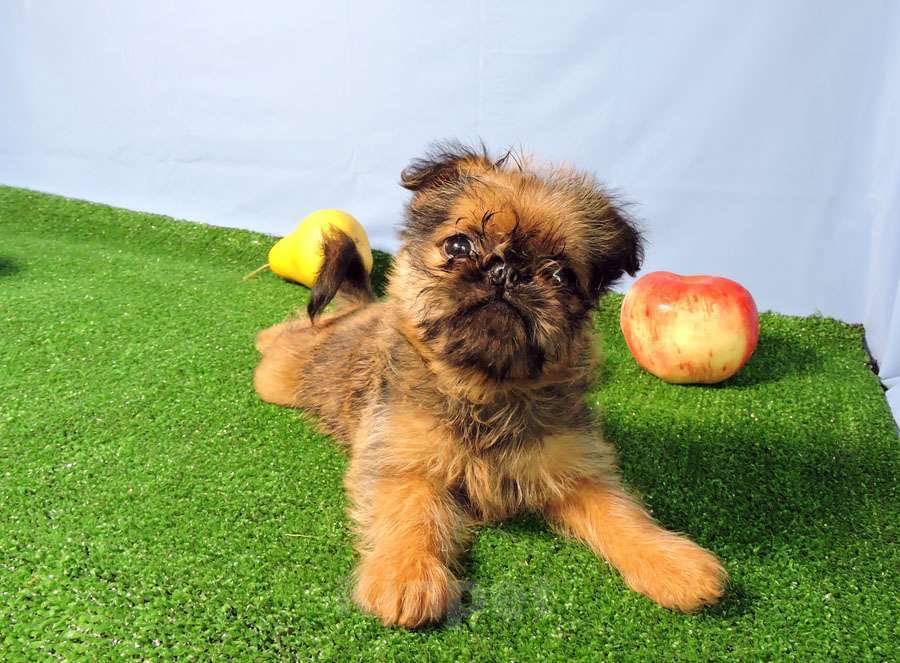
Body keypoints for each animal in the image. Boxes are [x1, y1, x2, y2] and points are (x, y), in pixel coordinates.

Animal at [251, 141, 724, 628]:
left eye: (560, 275)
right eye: (459, 245)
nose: (507, 271)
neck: (484, 392)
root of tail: (364, 308)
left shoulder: (572, 469)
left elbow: (621, 514)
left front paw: (672, 562)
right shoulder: (402, 460)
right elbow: (410, 510)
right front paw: (406, 574)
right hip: (283, 376)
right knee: (289, 337)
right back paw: (266, 338)